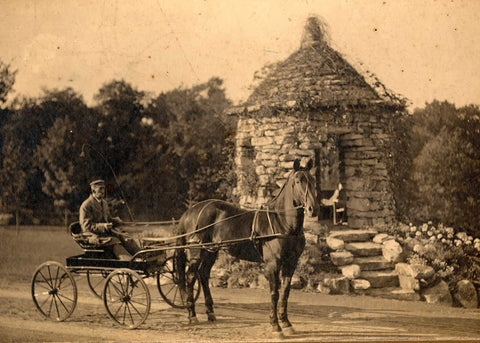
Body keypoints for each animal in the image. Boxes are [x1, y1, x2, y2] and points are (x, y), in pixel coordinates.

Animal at [175, 160, 318, 334]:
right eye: (298, 181)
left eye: (313, 180)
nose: (313, 209)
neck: (283, 223)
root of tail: (190, 212)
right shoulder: (273, 263)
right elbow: (274, 293)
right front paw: (275, 325)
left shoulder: (291, 263)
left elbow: (285, 292)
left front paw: (286, 323)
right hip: (198, 251)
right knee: (190, 277)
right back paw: (192, 315)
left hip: (211, 251)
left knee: (203, 274)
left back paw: (210, 313)